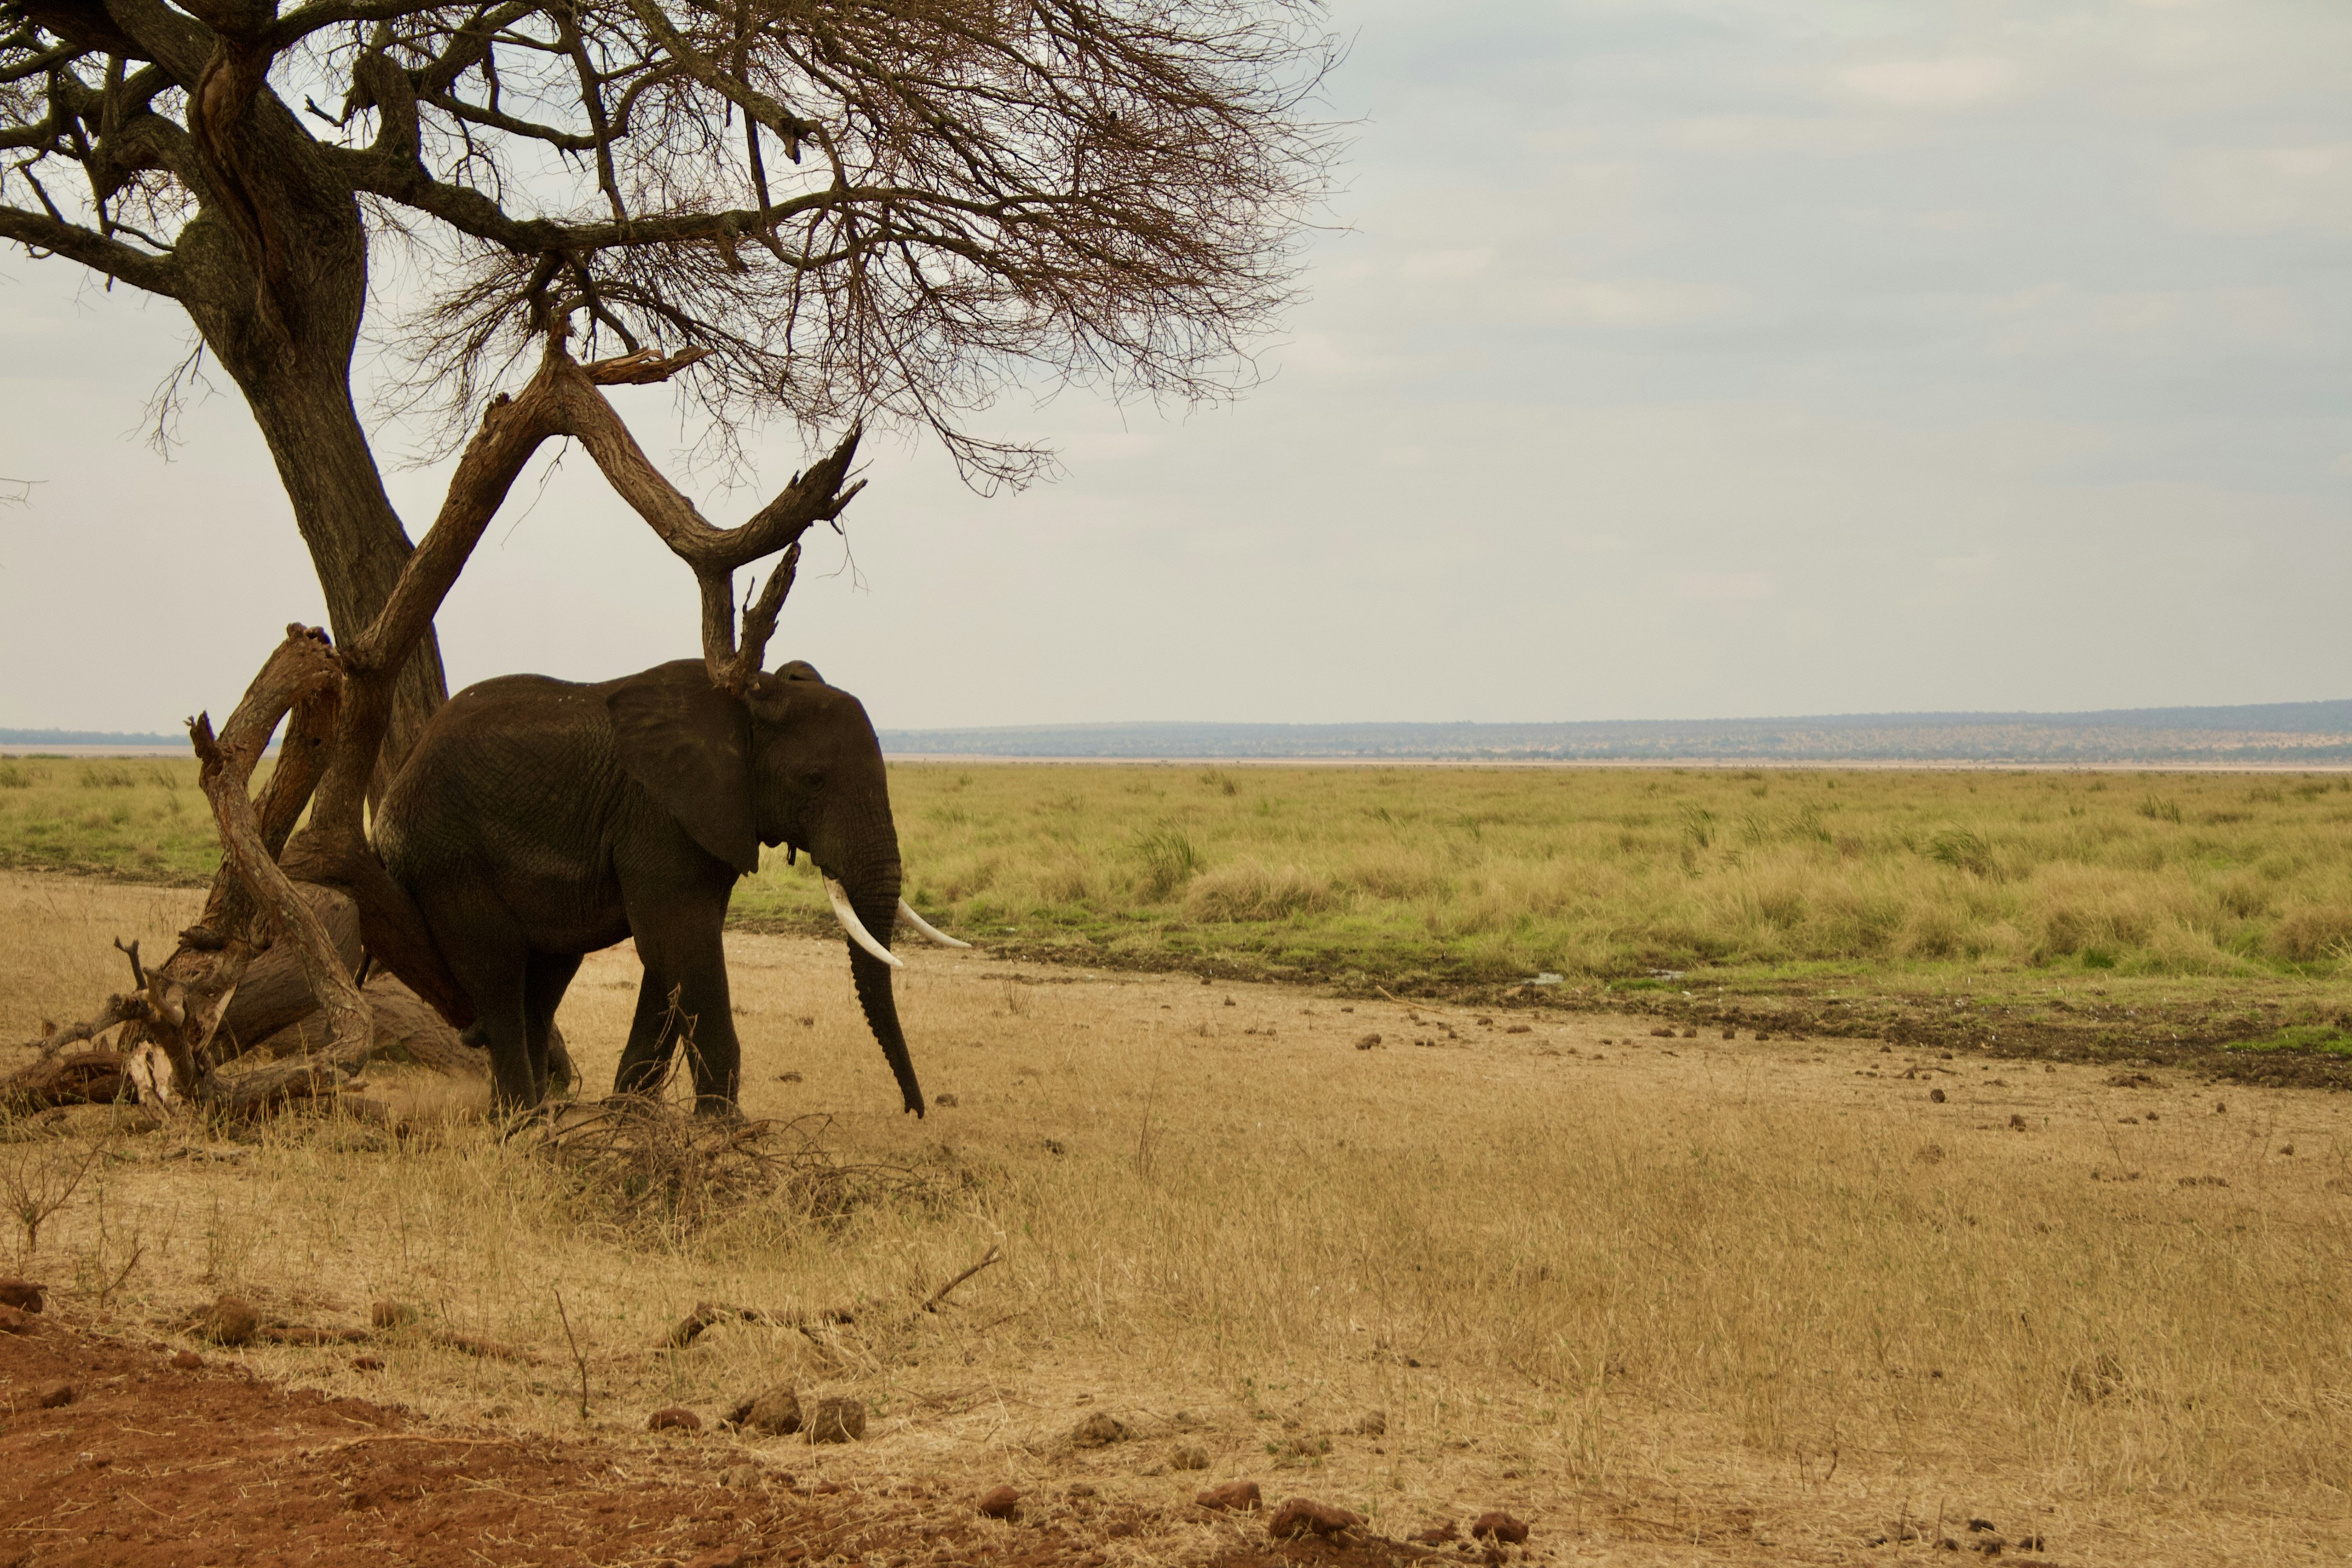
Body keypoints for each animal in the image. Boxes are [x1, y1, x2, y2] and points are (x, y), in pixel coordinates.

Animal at [372, 657, 964, 1115]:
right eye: (814, 780)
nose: (914, 1109)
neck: (750, 697)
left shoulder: (710, 819)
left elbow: (670, 957)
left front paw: (628, 1117)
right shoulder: (659, 815)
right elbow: (682, 943)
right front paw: (724, 1129)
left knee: (543, 981)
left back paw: (534, 1112)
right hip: (445, 855)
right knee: (497, 973)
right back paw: (522, 1122)